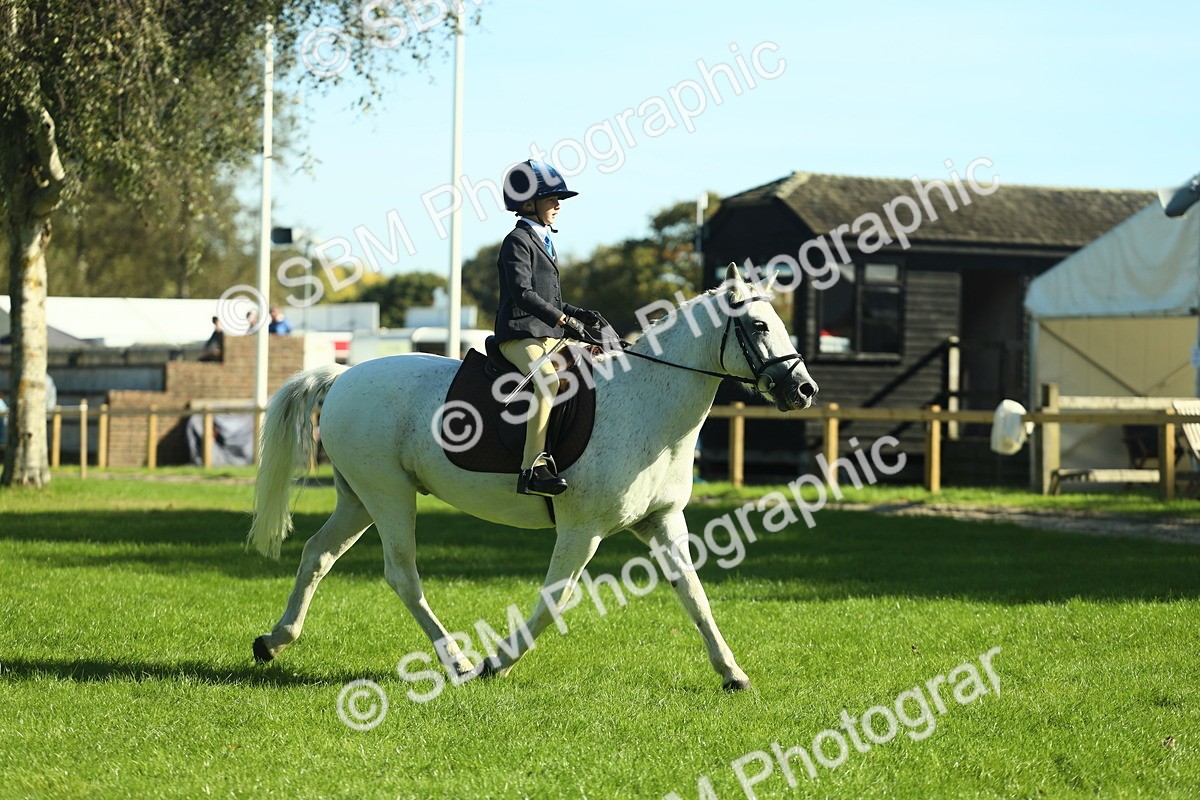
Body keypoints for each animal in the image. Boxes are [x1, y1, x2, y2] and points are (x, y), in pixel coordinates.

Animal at [247, 266, 818, 691]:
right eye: (760, 326)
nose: (804, 389)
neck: (649, 404)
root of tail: (343, 375)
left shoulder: (662, 521)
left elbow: (694, 594)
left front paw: (732, 673)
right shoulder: (581, 531)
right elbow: (554, 601)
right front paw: (497, 662)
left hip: (360, 499)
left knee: (317, 554)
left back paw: (274, 640)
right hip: (389, 495)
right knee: (402, 574)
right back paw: (457, 661)